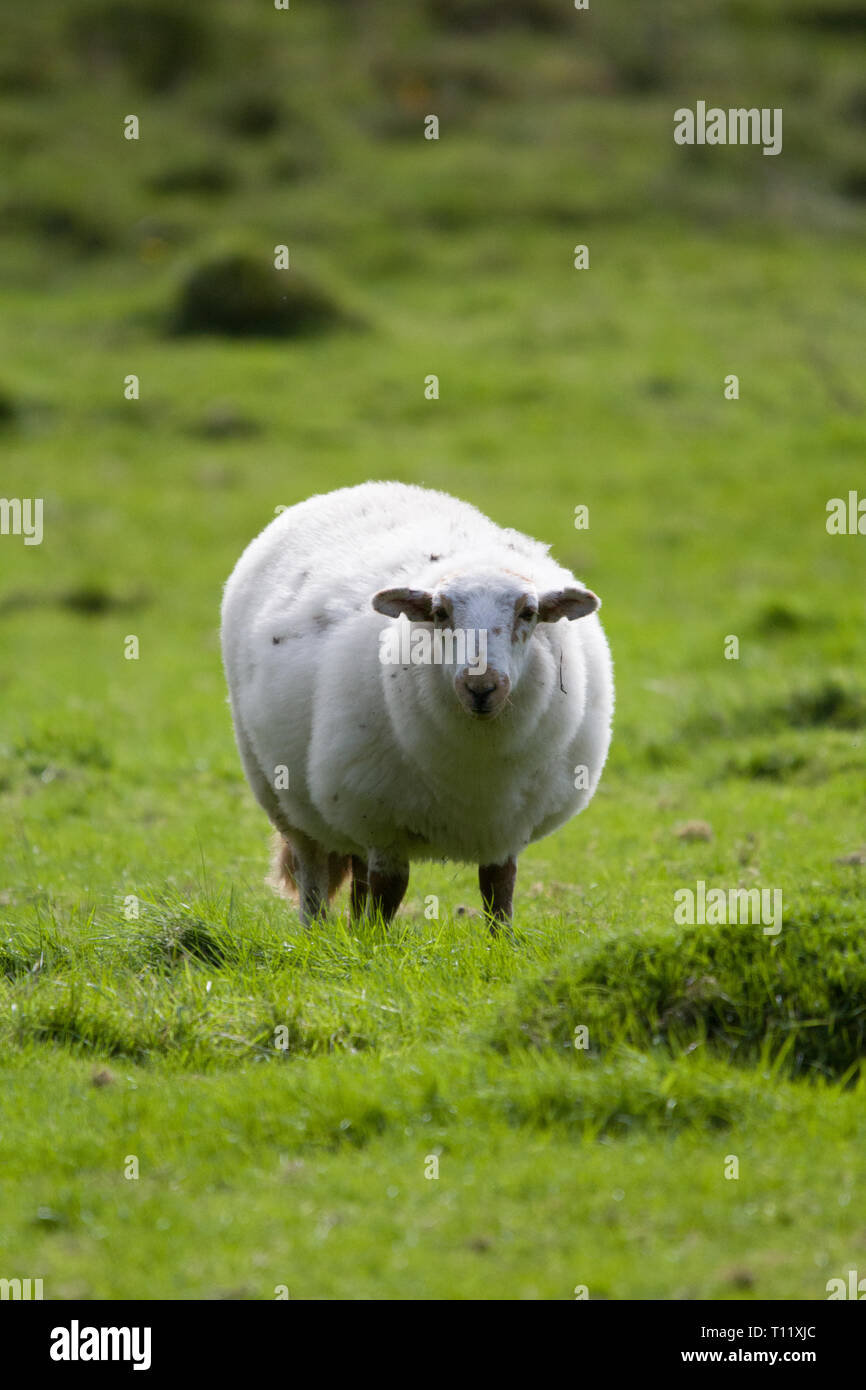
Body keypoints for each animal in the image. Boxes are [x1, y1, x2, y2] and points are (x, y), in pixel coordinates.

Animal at [220, 481, 614, 928]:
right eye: (439, 613)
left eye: (529, 613)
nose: (481, 686)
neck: (477, 762)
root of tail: (358, 488)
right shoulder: (382, 823)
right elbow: (387, 896)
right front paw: (373, 943)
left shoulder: (503, 830)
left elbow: (498, 894)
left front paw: (501, 942)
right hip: (287, 796)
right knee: (313, 871)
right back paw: (314, 932)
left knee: (356, 878)